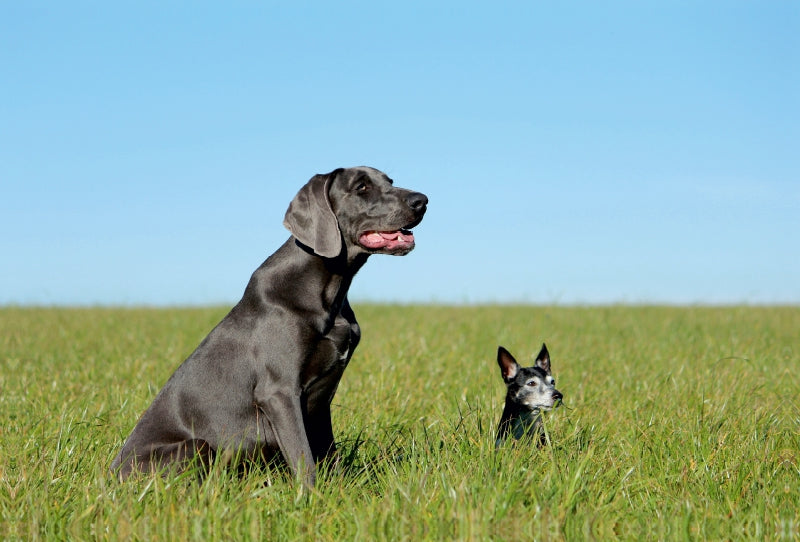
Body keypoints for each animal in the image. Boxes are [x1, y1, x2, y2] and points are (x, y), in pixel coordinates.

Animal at [111, 167, 432, 488]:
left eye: (389, 181)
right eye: (361, 187)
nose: (422, 200)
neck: (328, 290)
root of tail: (110, 474)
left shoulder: (321, 401)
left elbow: (328, 454)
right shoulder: (279, 391)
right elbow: (303, 458)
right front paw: (312, 497)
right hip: (194, 446)